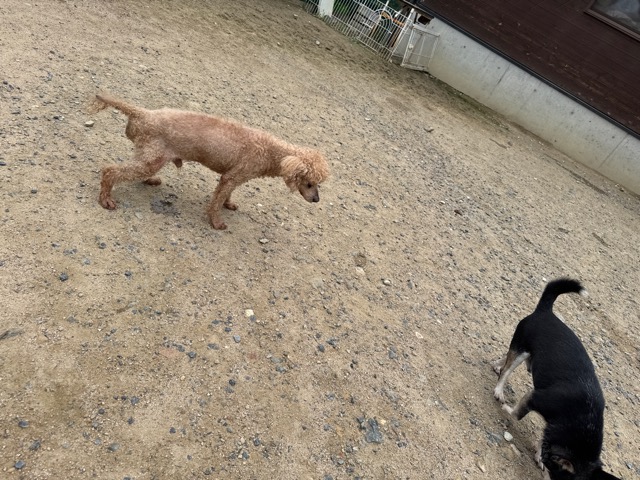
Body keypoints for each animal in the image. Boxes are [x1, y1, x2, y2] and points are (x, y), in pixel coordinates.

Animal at [89, 94, 329, 230]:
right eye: (309, 183)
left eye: (319, 184)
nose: (317, 200)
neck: (270, 152)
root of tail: (143, 113)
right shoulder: (231, 177)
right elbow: (216, 202)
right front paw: (216, 222)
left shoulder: (234, 177)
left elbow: (226, 196)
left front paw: (228, 204)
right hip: (152, 158)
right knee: (111, 170)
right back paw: (106, 199)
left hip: (150, 155)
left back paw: (150, 181)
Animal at [493, 278, 620, 480]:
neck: (584, 417)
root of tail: (546, 311)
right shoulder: (534, 397)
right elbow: (517, 414)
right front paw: (507, 409)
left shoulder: (550, 424)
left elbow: (544, 438)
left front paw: (539, 454)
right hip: (523, 349)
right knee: (507, 370)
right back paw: (499, 390)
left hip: (523, 350)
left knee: (506, 358)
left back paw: (497, 365)